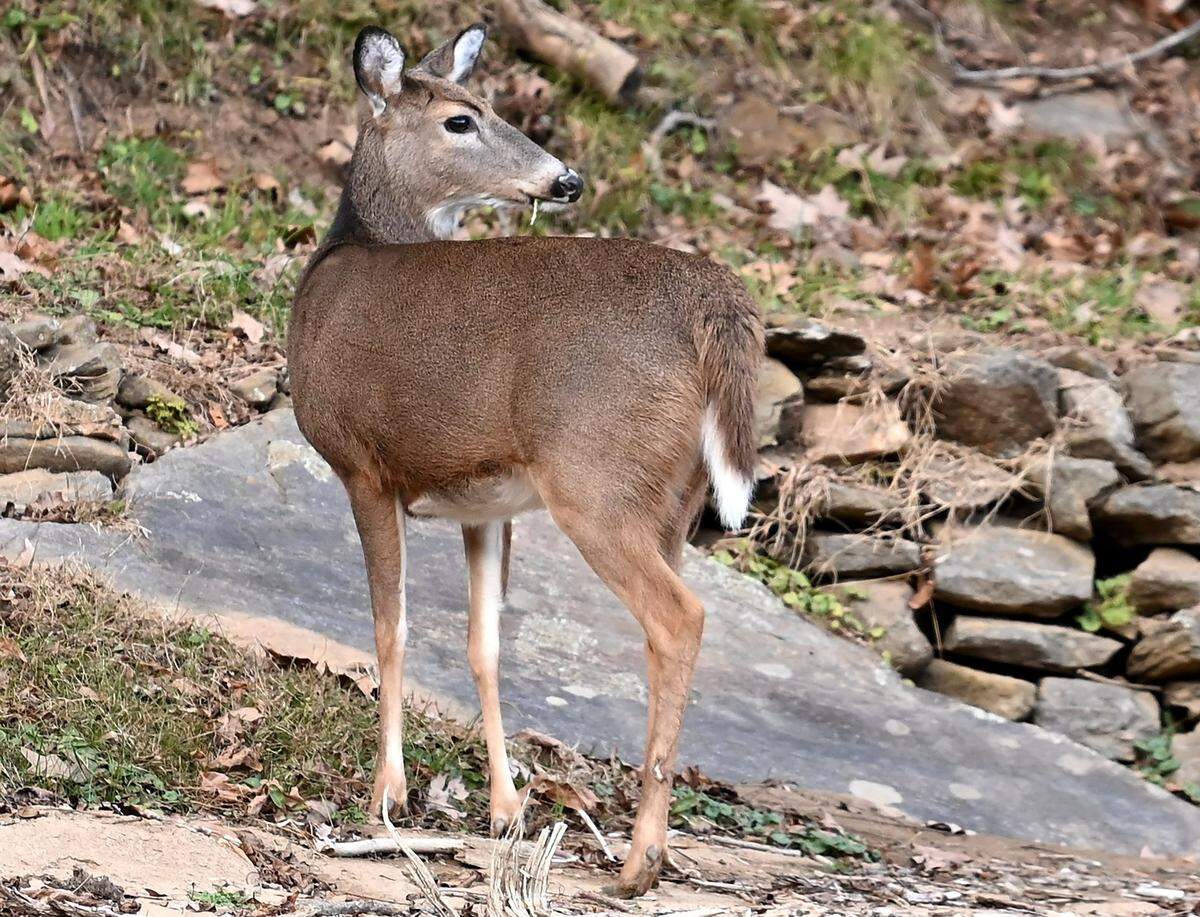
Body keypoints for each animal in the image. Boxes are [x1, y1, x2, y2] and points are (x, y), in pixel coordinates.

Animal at [287, 22, 763, 897]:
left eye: (486, 109)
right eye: (461, 119)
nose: (564, 179)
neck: (349, 255)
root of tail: (717, 300)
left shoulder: (363, 463)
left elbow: (389, 626)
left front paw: (387, 793)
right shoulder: (484, 503)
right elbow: (484, 643)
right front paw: (506, 807)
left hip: (595, 477)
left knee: (679, 616)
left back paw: (639, 861)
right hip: (672, 498)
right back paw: (650, 846)